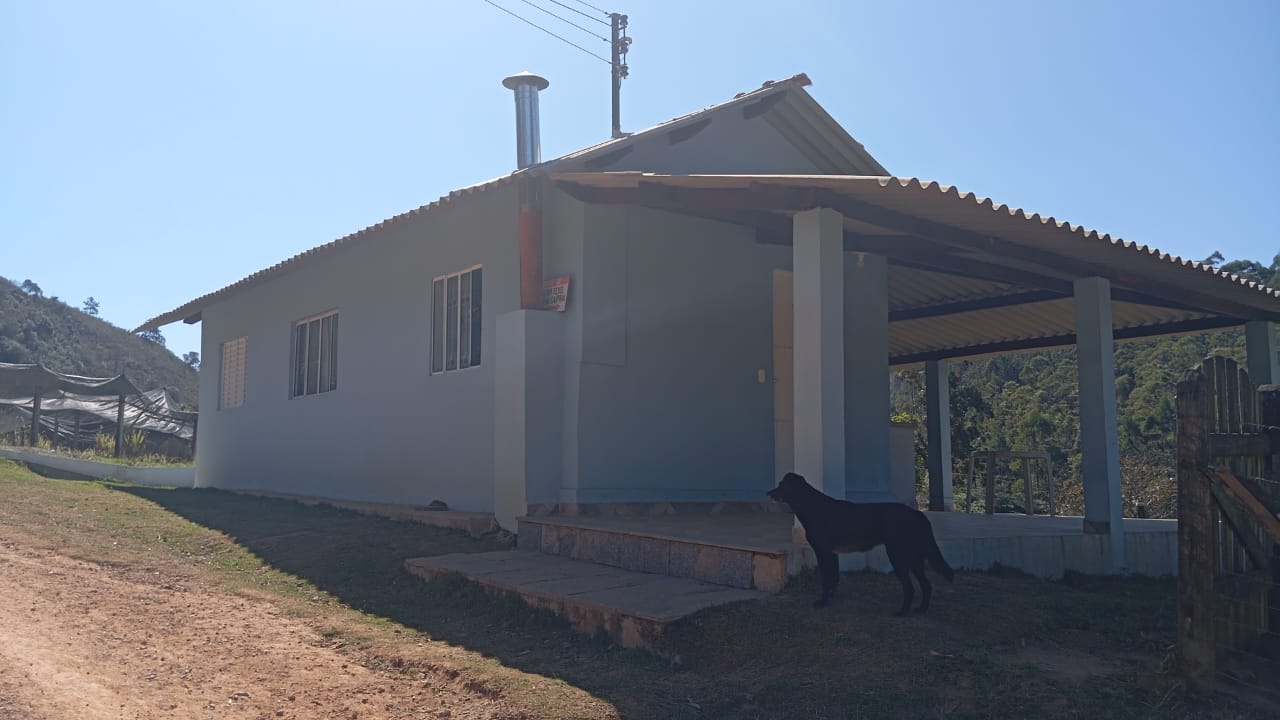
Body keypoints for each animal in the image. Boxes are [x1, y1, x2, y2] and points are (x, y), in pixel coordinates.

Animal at [762, 471, 957, 609]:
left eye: (781, 485)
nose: (767, 492)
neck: (813, 506)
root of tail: (916, 513)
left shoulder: (823, 552)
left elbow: (825, 579)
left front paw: (822, 602)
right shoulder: (832, 554)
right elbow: (834, 579)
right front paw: (830, 599)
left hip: (898, 556)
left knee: (910, 588)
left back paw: (902, 613)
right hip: (915, 559)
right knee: (927, 586)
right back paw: (921, 610)